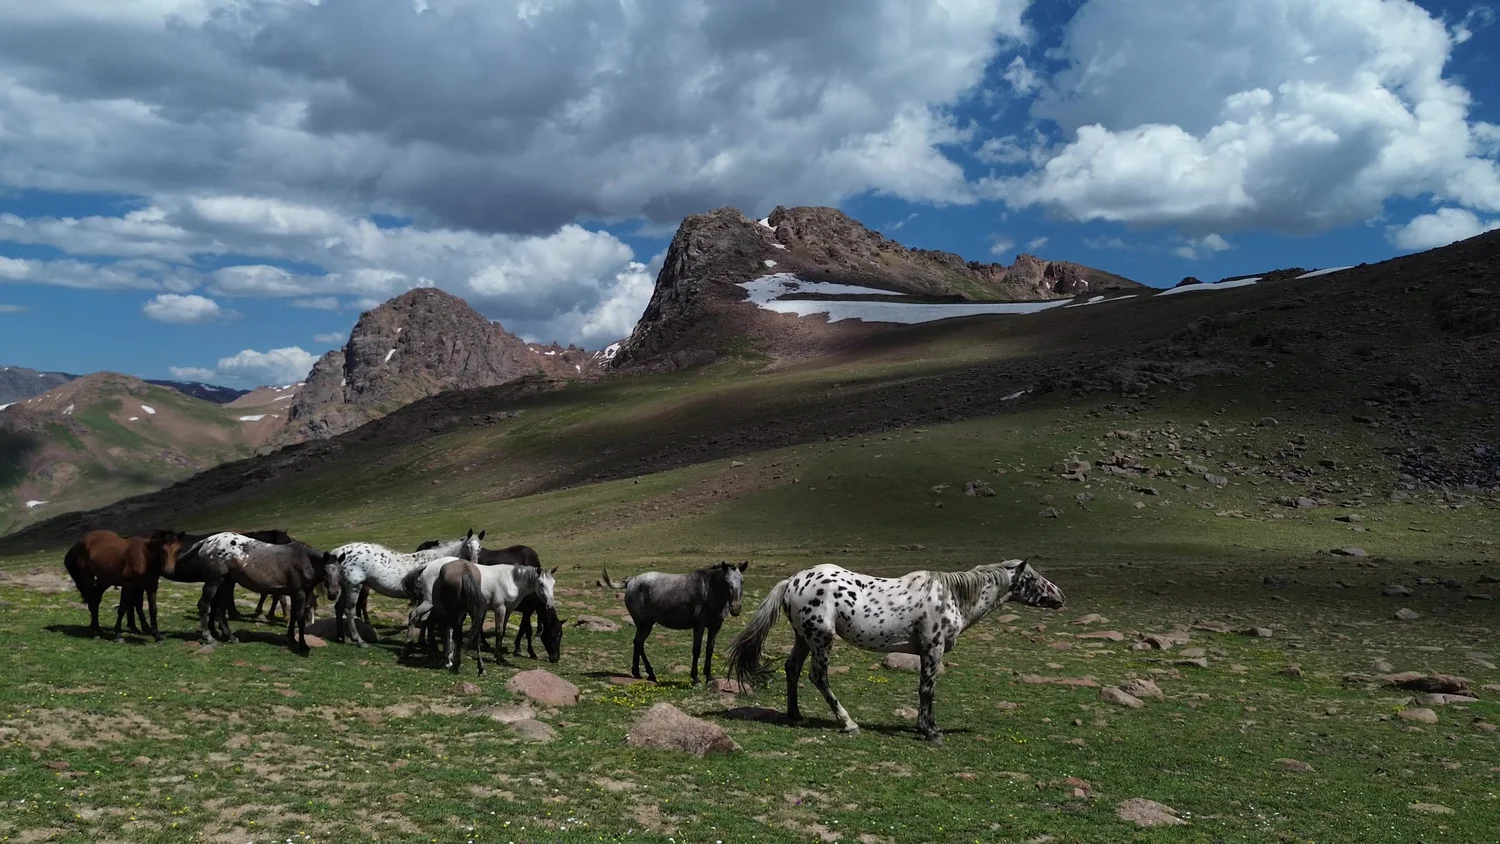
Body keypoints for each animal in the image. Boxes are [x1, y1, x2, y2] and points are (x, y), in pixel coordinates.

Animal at [188, 533, 344, 650]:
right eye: (325, 571)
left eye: (341, 571)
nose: (333, 594)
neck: (304, 560)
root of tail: (207, 541)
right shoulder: (299, 594)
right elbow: (299, 619)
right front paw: (303, 645)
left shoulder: (294, 594)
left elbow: (293, 616)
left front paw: (292, 639)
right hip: (214, 582)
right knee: (204, 605)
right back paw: (209, 637)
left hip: (226, 583)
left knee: (220, 608)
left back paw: (230, 637)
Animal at [326, 529, 485, 646]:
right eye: (468, 547)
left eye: (480, 548)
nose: (475, 564)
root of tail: (339, 551)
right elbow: (427, 620)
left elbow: (424, 620)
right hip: (354, 587)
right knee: (349, 611)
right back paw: (359, 641)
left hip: (345, 588)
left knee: (339, 608)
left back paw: (341, 637)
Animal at [413, 539, 565, 662]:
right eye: (540, 583)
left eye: (553, 583)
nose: (555, 658)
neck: (512, 581)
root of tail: (428, 567)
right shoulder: (504, 608)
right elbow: (514, 630)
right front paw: (503, 656)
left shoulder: (510, 610)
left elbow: (504, 630)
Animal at [601, 561, 746, 684]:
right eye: (726, 581)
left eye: (742, 581)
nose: (736, 608)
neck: (709, 590)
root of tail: (631, 582)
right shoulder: (699, 625)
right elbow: (697, 650)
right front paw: (696, 678)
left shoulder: (715, 626)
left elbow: (709, 650)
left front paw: (709, 677)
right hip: (644, 624)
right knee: (639, 643)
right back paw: (648, 673)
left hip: (646, 624)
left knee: (638, 644)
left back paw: (640, 673)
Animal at [724, 559, 1065, 744]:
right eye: (1032, 578)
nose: (1061, 595)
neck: (952, 596)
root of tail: (792, 581)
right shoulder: (932, 648)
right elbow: (927, 689)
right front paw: (929, 730)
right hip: (820, 639)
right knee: (818, 677)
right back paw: (847, 722)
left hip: (803, 638)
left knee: (792, 669)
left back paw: (796, 716)